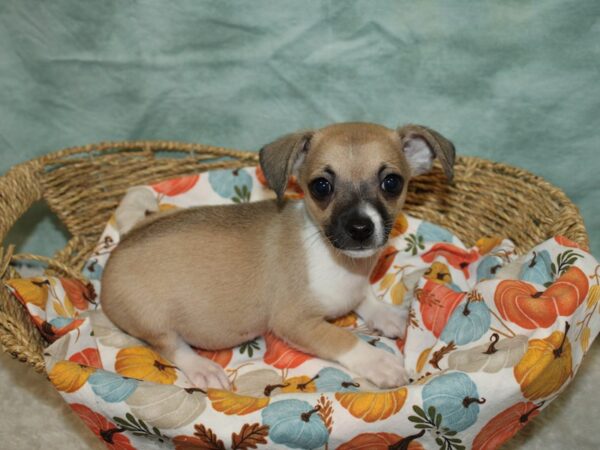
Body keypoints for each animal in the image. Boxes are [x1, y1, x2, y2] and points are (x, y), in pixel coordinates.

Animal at [102, 122, 454, 390]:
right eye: (321, 186)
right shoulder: (295, 323)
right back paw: (203, 368)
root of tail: (114, 254)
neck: (337, 261)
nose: (359, 228)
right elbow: (342, 337)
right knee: (170, 346)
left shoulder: (352, 288)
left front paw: (386, 314)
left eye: (391, 182)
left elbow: (364, 297)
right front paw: (379, 361)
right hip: (152, 320)